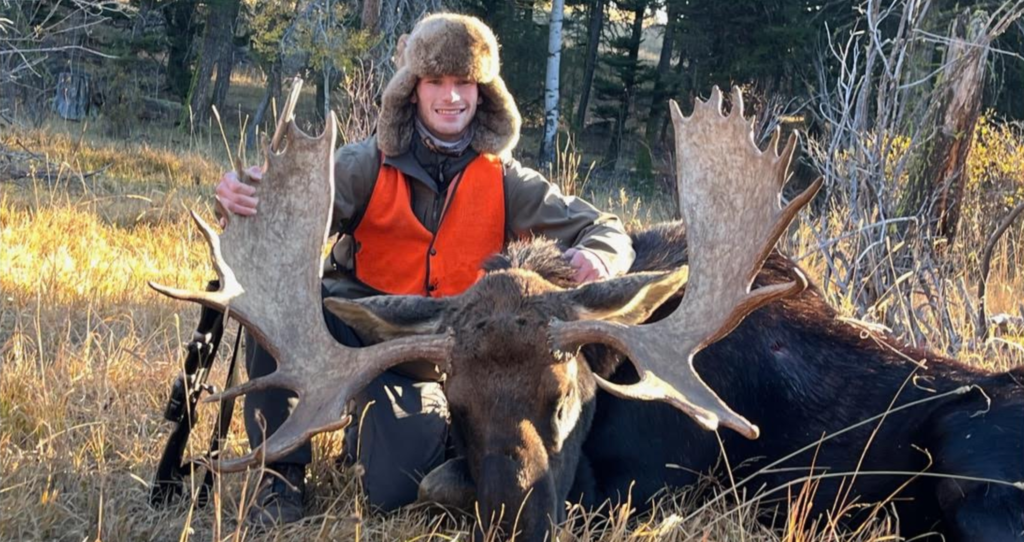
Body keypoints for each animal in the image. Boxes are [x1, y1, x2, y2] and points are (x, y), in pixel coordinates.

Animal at [151, 86, 1024, 541]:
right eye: (455, 403)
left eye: (567, 392)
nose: (517, 517)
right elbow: (435, 477)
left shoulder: (664, 483)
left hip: (969, 453)